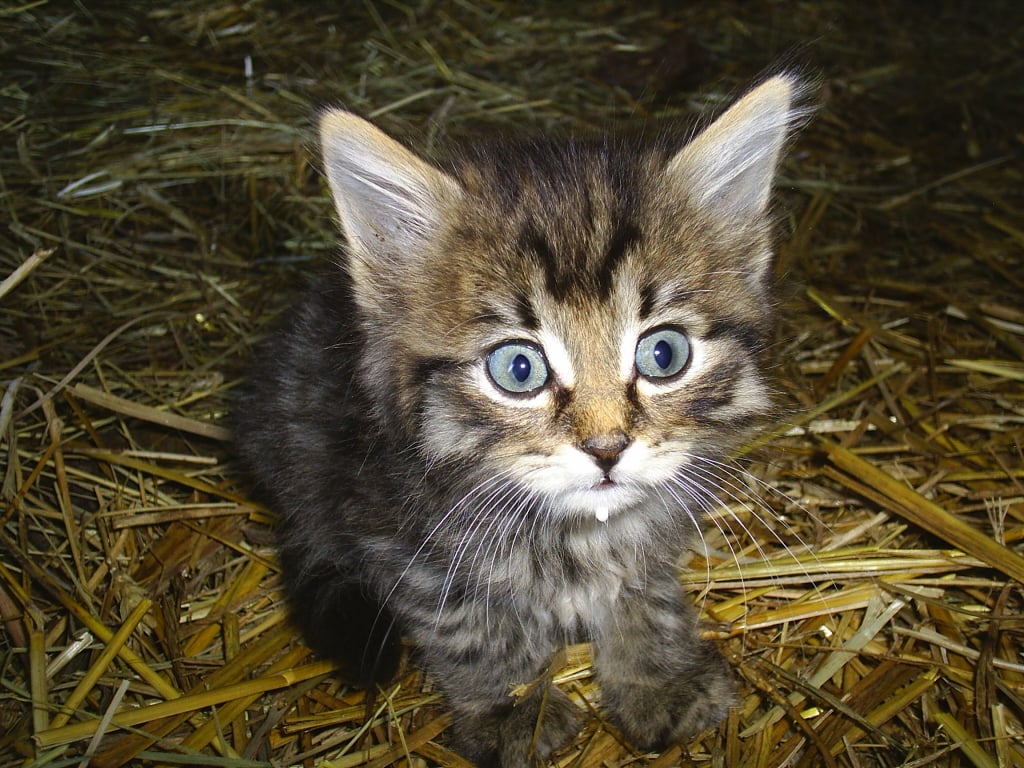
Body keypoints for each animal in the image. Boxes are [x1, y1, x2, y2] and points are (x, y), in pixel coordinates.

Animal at [235, 73, 802, 768]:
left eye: (664, 354)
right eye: (518, 368)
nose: (607, 447)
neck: (574, 535)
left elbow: (648, 594)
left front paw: (659, 678)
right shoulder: (398, 535)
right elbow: (471, 625)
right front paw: (511, 709)